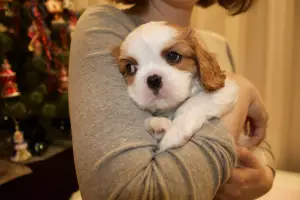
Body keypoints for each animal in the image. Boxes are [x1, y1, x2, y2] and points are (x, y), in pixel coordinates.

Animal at [111, 21, 258, 156]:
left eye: (173, 56)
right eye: (130, 68)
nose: (153, 79)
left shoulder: (226, 90)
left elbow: (192, 103)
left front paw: (175, 132)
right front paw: (158, 125)